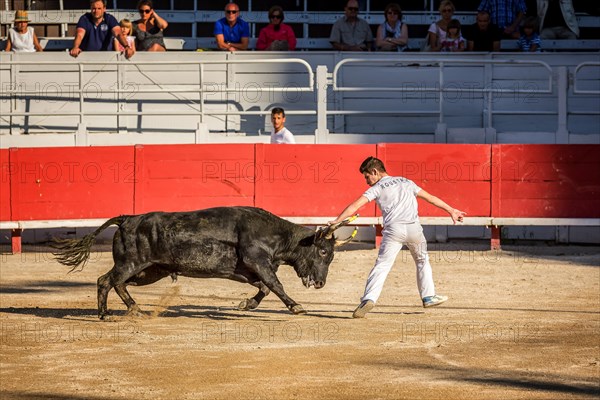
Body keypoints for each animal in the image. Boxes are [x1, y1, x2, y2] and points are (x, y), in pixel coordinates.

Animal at [52, 206, 352, 318]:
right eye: (323, 252)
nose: (321, 283)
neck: (276, 235)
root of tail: (127, 219)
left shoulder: (249, 270)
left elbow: (265, 288)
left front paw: (246, 304)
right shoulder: (258, 262)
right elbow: (275, 286)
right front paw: (296, 306)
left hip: (149, 271)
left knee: (113, 282)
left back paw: (132, 310)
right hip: (132, 264)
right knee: (108, 280)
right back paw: (108, 314)